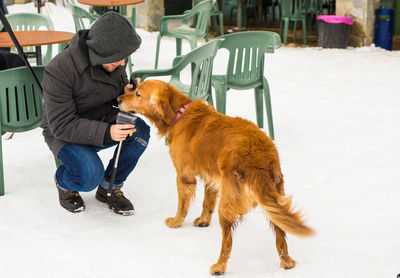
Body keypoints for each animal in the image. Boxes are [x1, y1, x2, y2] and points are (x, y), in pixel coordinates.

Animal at [117, 79, 314, 274]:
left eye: (138, 93)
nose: (118, 99)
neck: (179, 113)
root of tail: (259, 159)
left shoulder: (184, 175)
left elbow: (182, 205)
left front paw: (176, 222)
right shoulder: (212, 177)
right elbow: (207, 202)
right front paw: (203, 220)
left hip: (227, 204)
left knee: (227, 241)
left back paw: (219, 265)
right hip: (274, 199)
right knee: (281, 233)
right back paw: (286, 261)